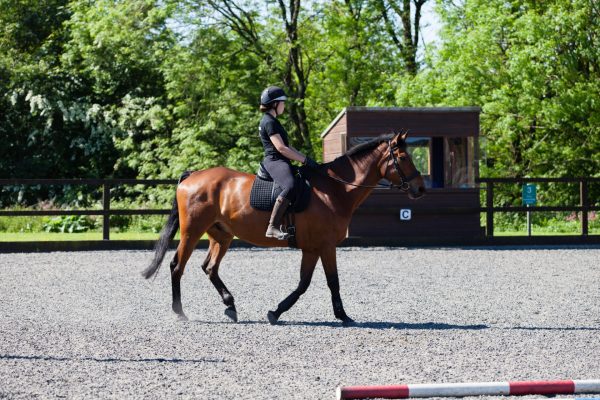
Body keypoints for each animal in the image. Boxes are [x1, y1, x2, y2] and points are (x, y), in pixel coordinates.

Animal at [141, 131, 424, 324]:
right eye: (403, 157)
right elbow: (332, 281)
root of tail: (192, 176)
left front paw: (276, 311)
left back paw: (230, 305)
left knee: (209, 267)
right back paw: (180, 312)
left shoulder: (312, 248)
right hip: (192, 231)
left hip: (221, 235)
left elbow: (304, 283)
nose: (420, 188)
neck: (334, 189)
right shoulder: (326, 246)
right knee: (177, 266)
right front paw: (343, 316)